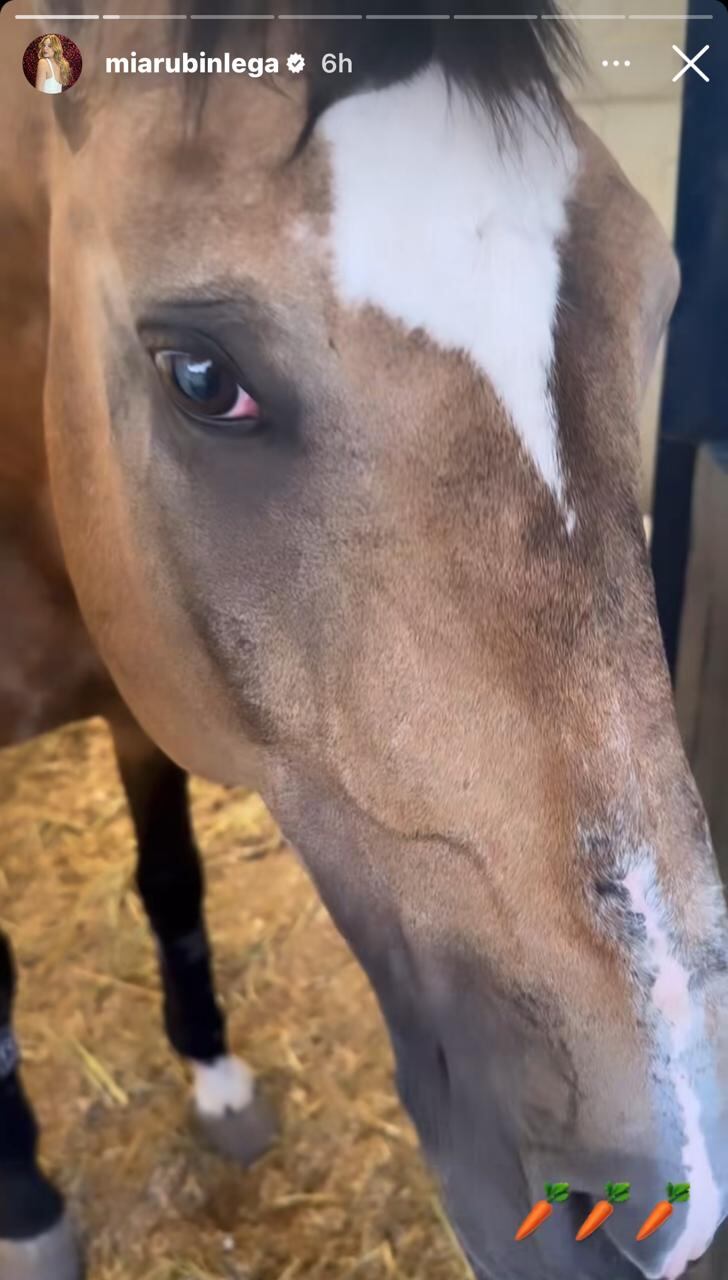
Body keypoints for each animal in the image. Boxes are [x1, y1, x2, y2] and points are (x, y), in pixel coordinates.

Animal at [1, 2, 727, 1278]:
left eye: (655, 294)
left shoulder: (144, 688)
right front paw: (30, 1207)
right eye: (201, 374)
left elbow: (172, 874)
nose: (670, 1198)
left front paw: (217, 1075)